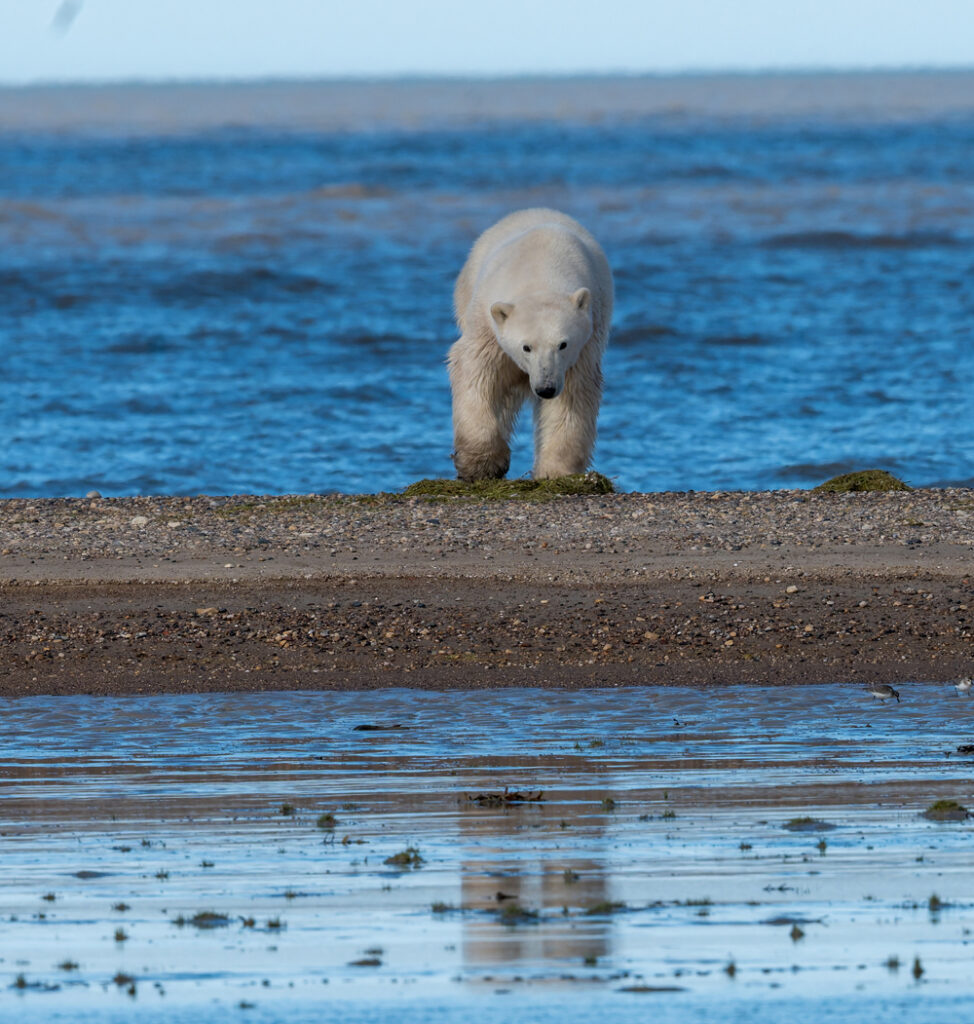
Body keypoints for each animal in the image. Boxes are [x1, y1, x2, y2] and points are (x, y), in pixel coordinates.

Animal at [447, 208, 613, 481]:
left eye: (563, 344)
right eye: (526, 347)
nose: (545, 388)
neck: (541, 271)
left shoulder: (583, 348)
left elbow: (573, 397)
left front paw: (556, 471)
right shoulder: (487, 323)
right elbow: (477, 372)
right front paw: (481, 464)